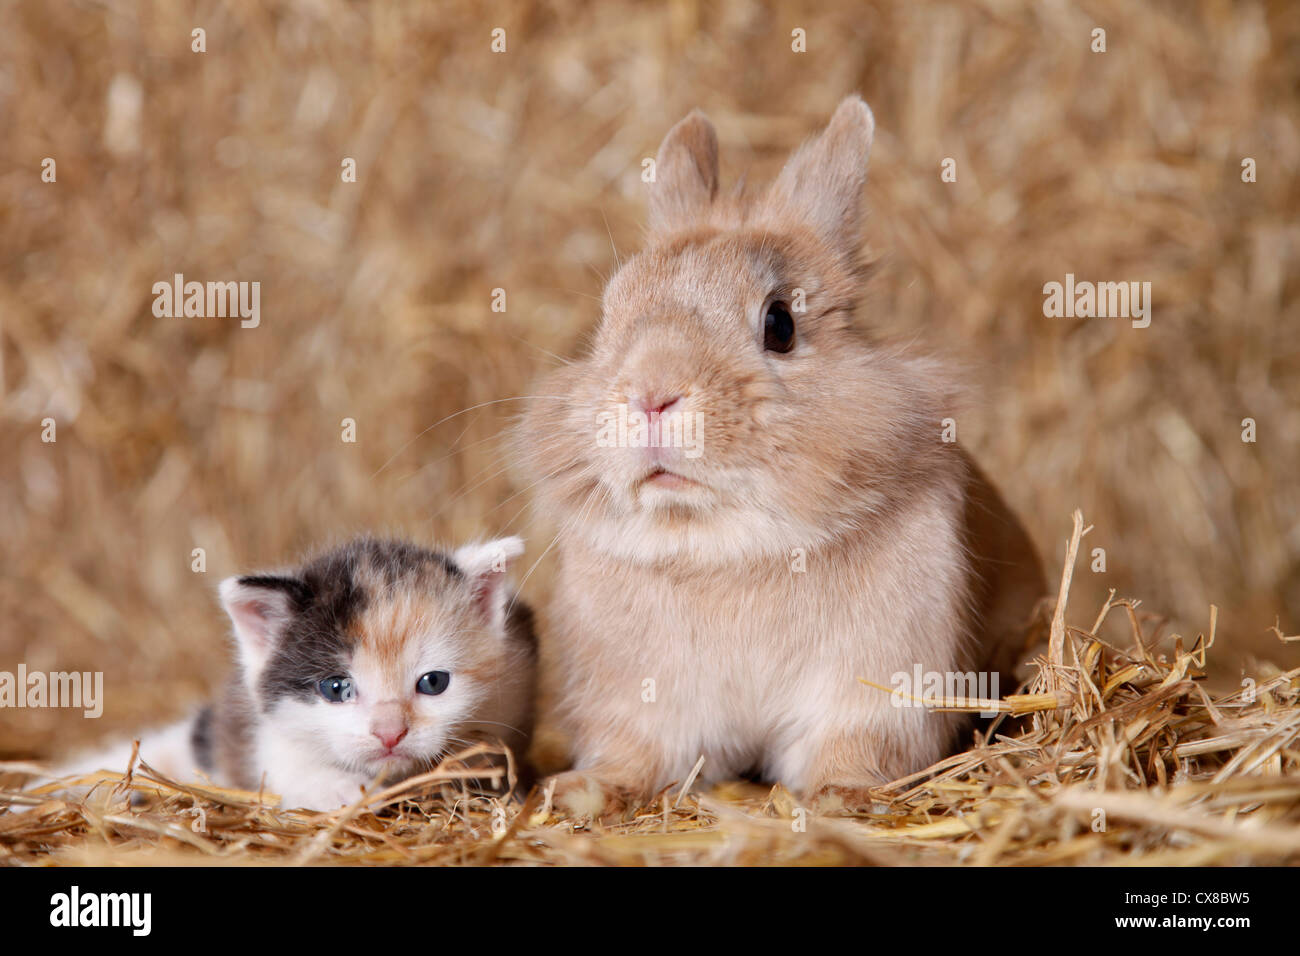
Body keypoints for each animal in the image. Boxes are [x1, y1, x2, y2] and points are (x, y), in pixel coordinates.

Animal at [514, 95, 1046, 817]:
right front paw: (581, 792)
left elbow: (851, 748)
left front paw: (840, 798)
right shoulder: (644, 704)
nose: (651, 393)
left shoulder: (871, 690)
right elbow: (638, 754)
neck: (728, 547)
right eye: (608, 318)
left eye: (780, 324)